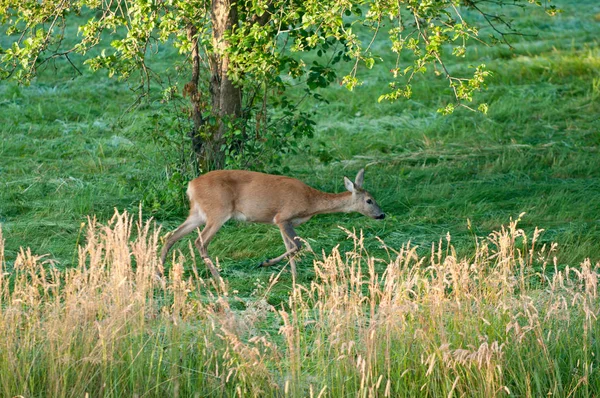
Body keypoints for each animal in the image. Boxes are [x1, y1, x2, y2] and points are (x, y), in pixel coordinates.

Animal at [159, 169, 384, 280]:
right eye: (369, 200)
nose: (382, 214)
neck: (310, 202)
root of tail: (191, 185)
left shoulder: (283, 222)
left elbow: (291, 247)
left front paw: (294, 276)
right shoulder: (283, 217)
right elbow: (297, 245)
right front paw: (265, 263)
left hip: (198, 213)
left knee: (171, 236)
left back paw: (159, 272)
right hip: (218, 211)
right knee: (200, 242)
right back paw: (217, 276)